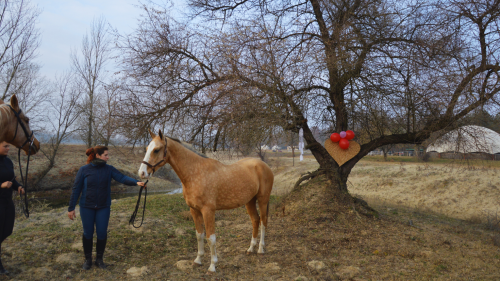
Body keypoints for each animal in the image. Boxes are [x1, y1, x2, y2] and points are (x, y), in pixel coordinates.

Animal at [138, 129, 274, 272]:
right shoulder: (194, 210)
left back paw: (260, 249)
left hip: (262, 200)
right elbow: (199, 235)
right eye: (147, 149)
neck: (195, 173)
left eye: (156, 150)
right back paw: (251, 248)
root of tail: (264, 165)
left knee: (263, 222)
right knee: (255, 220)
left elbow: (211, 238)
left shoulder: (208, 211)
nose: (142, 173)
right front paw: (198, 260)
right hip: (250, 201)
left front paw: (212, 266)